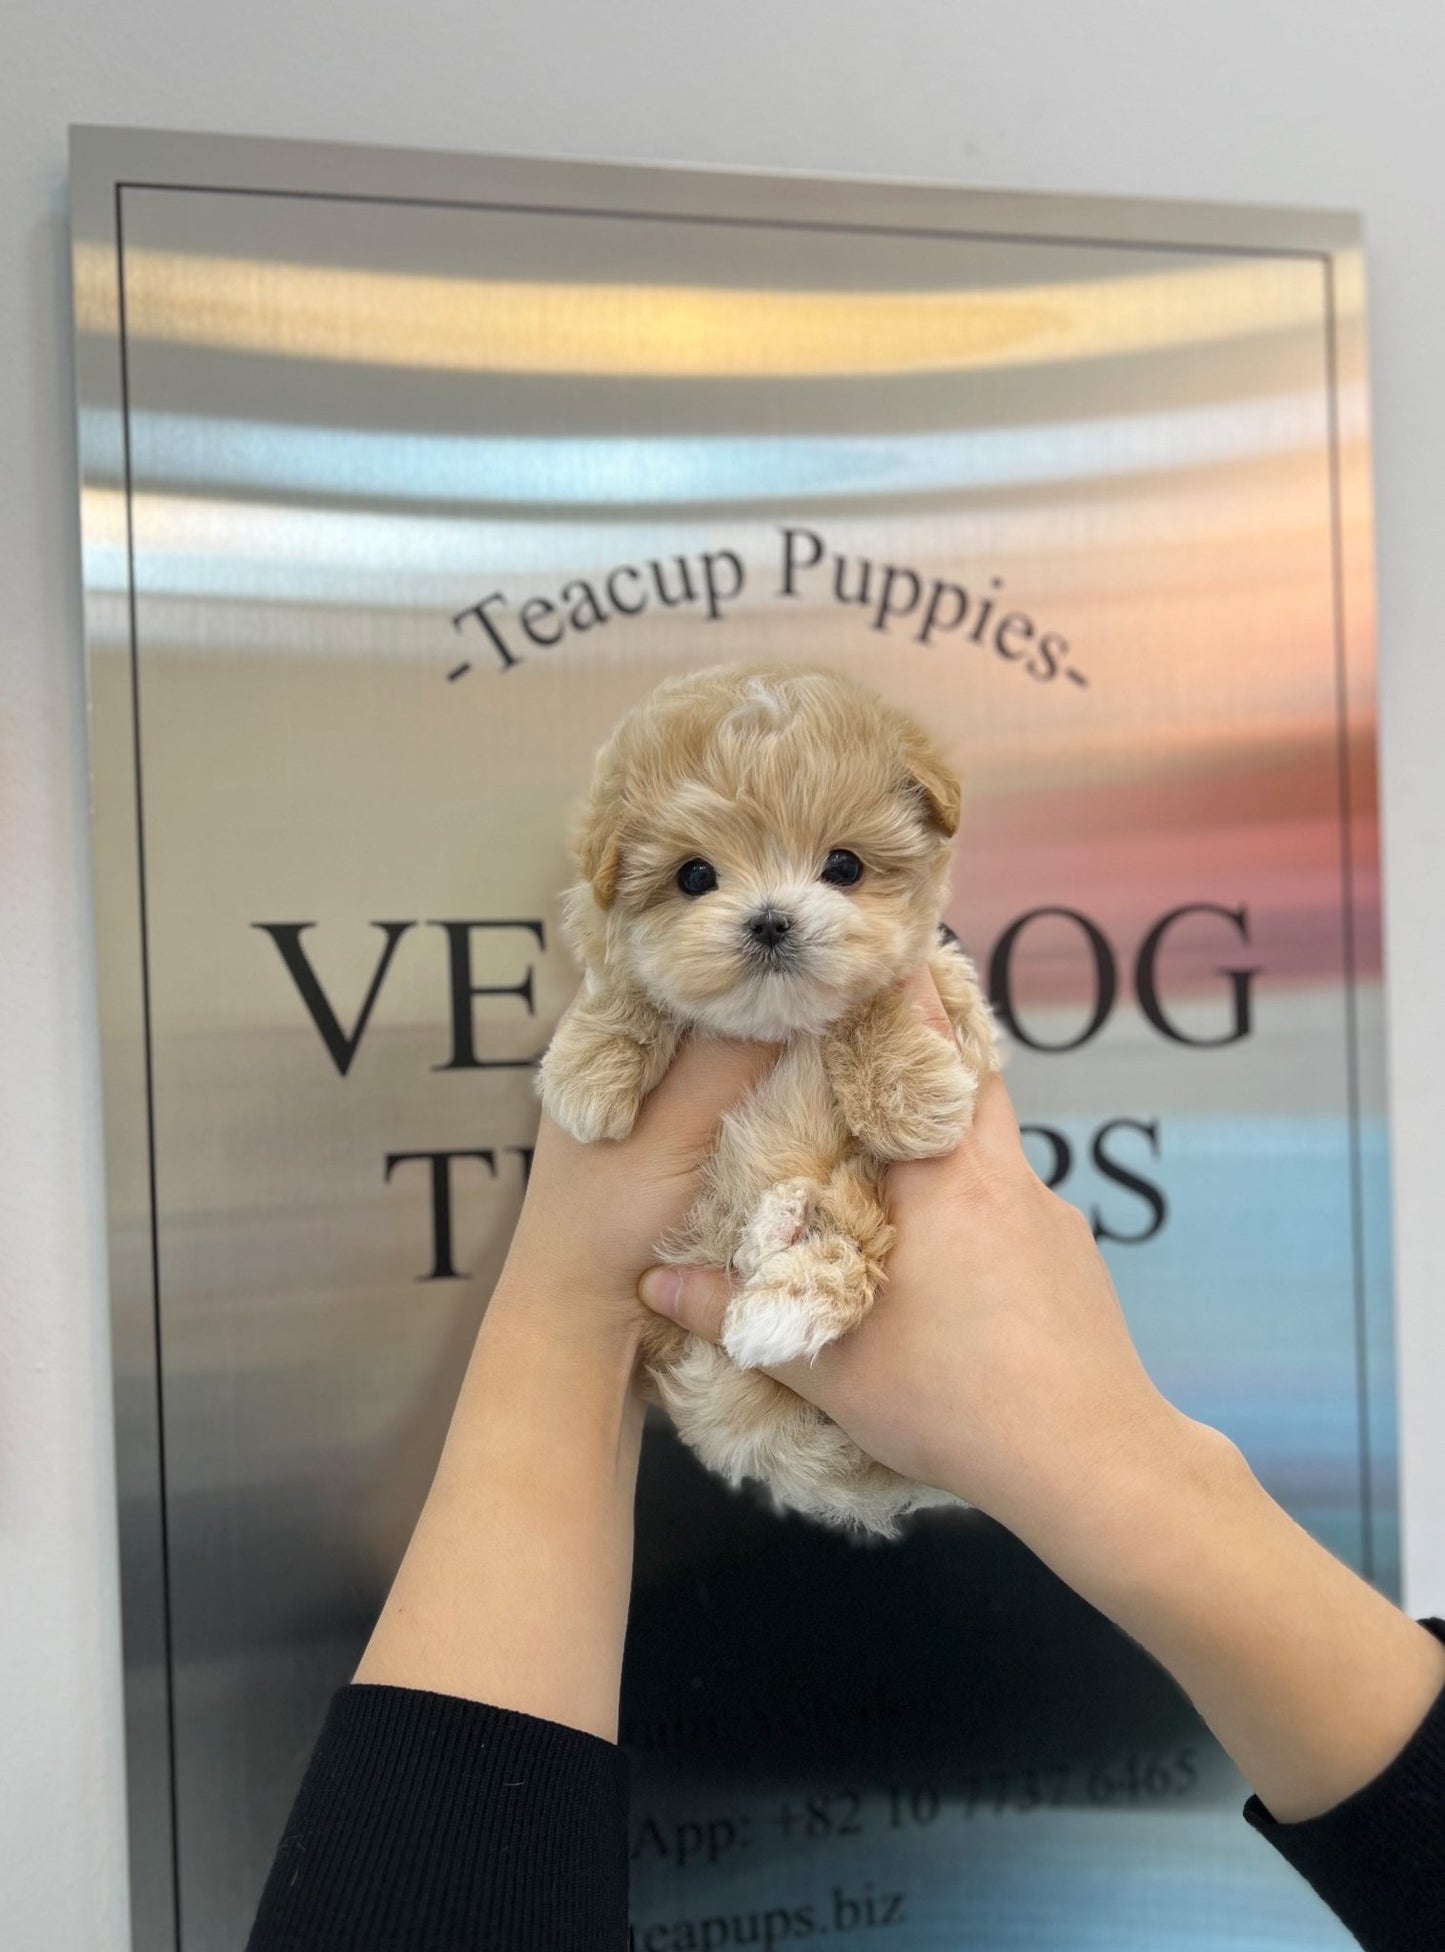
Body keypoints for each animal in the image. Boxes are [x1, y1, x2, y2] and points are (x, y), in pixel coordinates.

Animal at [535, 671, 999, 1538]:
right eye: (693, 877)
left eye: (844, 866)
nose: (771, 920)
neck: (775, 1027)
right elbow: (628, 984)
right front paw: (588, 1069)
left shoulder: (947, 995)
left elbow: (883, 995)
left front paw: (909, 1096)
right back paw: (770, 1236)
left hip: (857, 1196)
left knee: (848, 1242)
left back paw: (782, 1291)